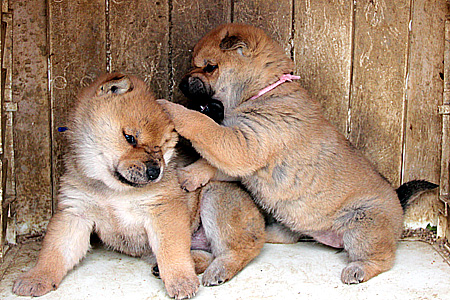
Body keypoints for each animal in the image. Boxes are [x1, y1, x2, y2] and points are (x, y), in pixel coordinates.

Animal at [12, 72, 266, 298]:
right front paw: (36, 278)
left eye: (162, 147)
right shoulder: (75, 213)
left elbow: (172, 252)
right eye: (130, 138)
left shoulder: (163, 210)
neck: (113, 191)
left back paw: (218, 269)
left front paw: (181, 281)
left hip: (215, 195)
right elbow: (54, 251)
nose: (155, 172)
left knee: (242, 247)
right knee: (207, 253)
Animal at [157, 23, 436, 284]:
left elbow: (202, 125)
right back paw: (265, 231)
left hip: (363, 224)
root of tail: (398, 203)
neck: (263, 90)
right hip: (291, 220)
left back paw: (359, 269)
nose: (181, 83)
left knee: (381, 257)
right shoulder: (243, 154)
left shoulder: (242, 145)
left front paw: (170, 109)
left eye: (210, 67)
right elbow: (210, 162)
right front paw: (190, 175)